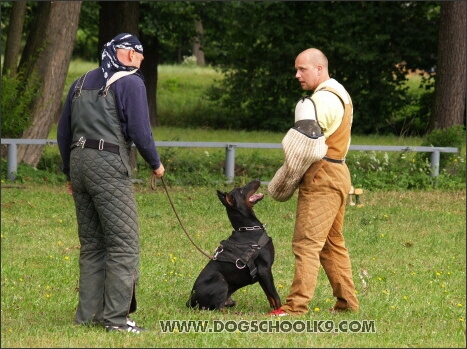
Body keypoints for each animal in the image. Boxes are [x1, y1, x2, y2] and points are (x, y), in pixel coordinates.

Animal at [186, 179, 282, 310]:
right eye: (241, 190)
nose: (257, 180)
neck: (247, 229)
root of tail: (191, 299)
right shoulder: (264, 269)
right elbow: (275, 296)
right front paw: (283, 310)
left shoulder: (262, 274)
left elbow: (270, 296)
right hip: (220, 280)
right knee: (216, 308)